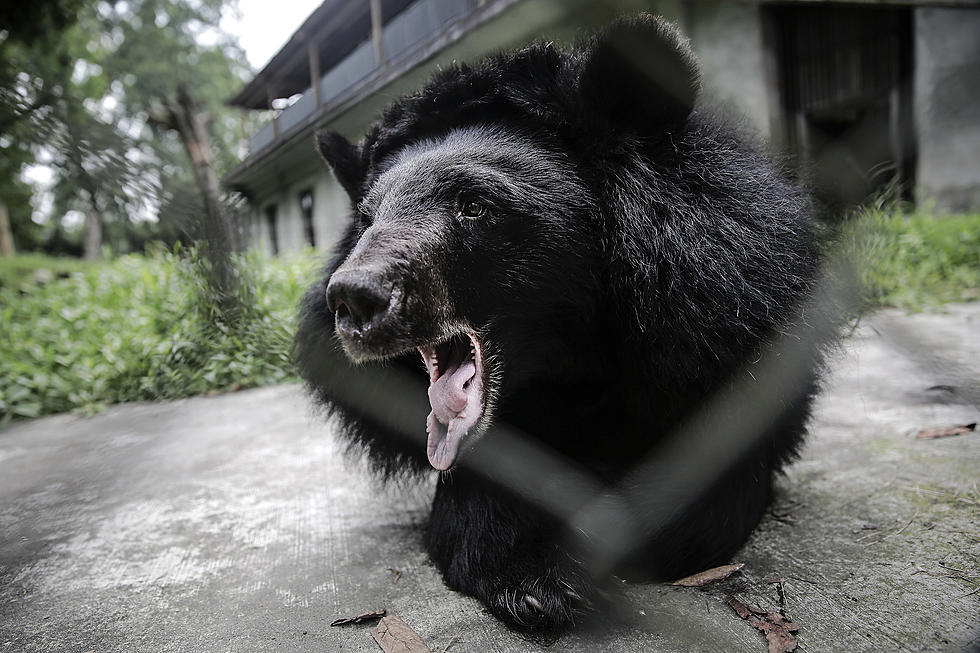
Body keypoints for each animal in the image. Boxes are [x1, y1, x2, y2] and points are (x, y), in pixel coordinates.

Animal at [292, 14, 828, 632]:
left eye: (474, 207)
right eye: (367, 219)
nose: (354, 300)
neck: (569, 369)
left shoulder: (730, 336)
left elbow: (715, 489)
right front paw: (528, 575)